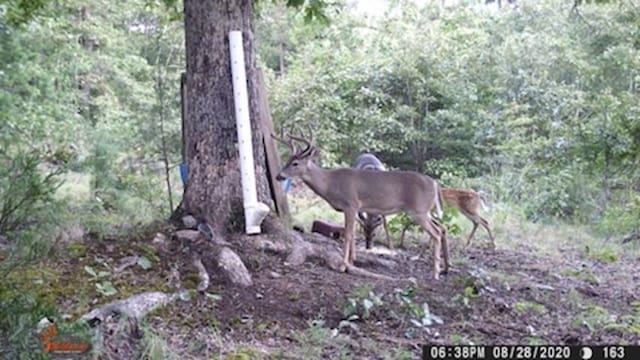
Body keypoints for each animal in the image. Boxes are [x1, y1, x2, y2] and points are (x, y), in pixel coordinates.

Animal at [276, 128, 450, 280]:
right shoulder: (352, 209)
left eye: (295, 163)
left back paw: (435, 273)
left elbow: (347, 234)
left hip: (418, 210)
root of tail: (435, 184)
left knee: (435, 232)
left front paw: (343, 266)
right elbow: (352, 233)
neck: (330, 184)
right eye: (288, 160)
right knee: (442, 227)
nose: (278, 176)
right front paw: (352, 261)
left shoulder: (351, 204)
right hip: (426, 211)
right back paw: (444, 269)